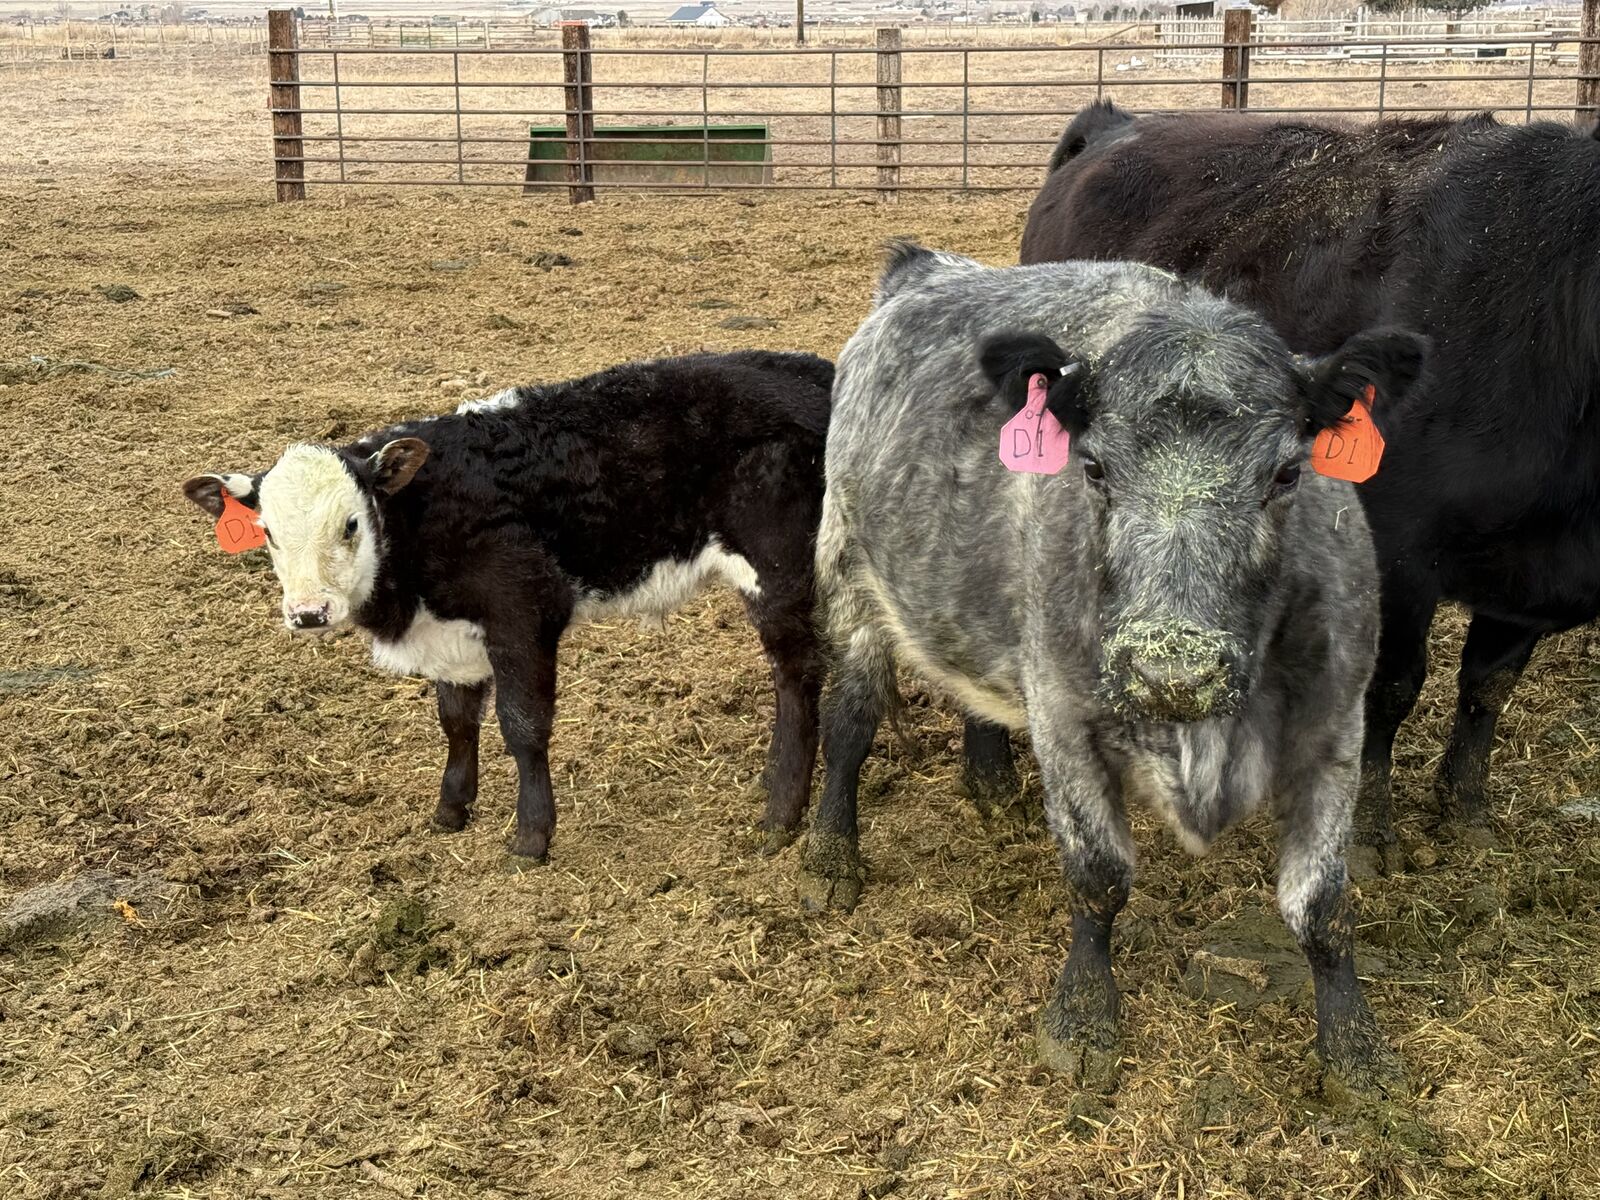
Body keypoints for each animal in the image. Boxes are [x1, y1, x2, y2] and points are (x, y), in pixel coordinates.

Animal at [182, 350, 835, 862]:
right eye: (267, 533)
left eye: (350, 524)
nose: (310, 613)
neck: (425, 514)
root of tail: (817, 370)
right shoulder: (451, 636)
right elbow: (455, 719)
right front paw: (451, 809)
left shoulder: (523, 610)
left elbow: (522, 726)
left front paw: (531, 837)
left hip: (780, 569)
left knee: (798, 675)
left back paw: (782, 812)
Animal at [808, 242, 1425, 1092]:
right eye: (1095, 468)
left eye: (1287, 474)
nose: (1174, 673)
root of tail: (929, 267)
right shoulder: (1064, 715)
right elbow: (1098, 876)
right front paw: (1082, 1018)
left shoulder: (1337, 722)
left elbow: (1322, 903)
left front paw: (1357, 1050)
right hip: (850, 577)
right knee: (850, 719)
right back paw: (830, 854)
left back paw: (990, 785)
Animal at [1021, 102, 1600, 873]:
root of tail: (1116, 125)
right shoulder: (1398, 552)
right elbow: (1392, 688)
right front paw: (1373, 832)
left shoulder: (1528, 575)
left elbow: (1487, 688)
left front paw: (1466, 810)